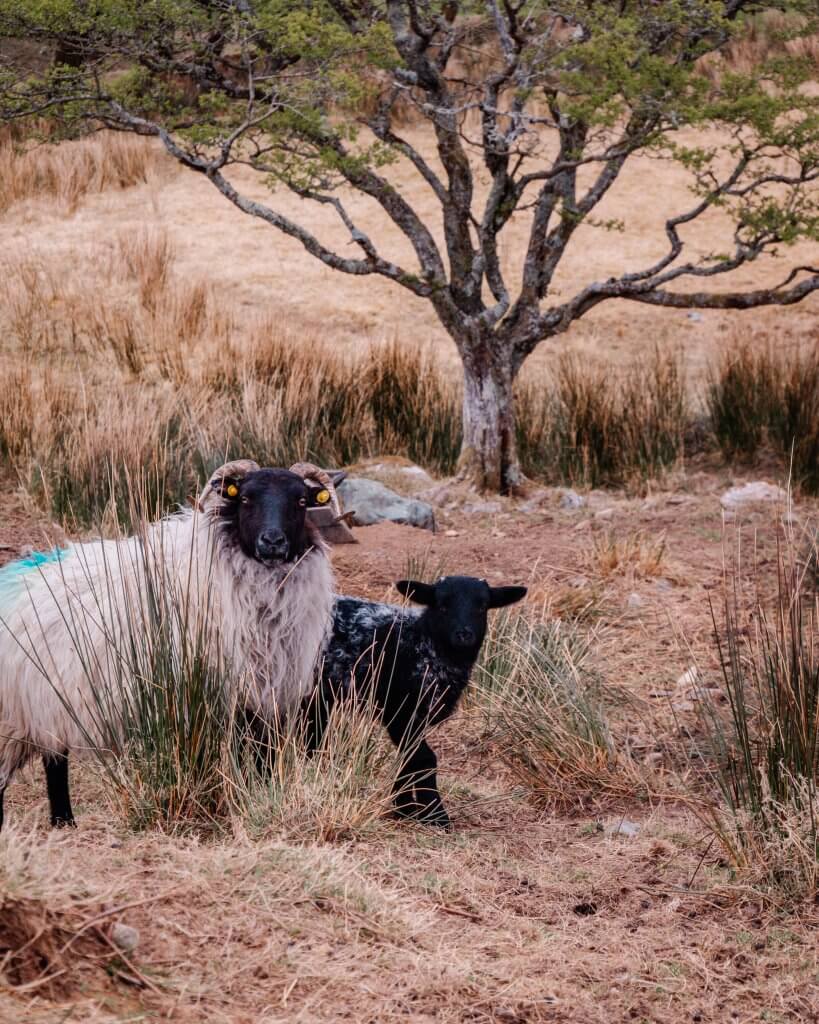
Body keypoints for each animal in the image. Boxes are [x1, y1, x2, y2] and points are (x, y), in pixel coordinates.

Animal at [0, 459, 342, 830]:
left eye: (302, 501)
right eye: (245, 498)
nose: (273, 542)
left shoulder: (264, 692)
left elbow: (262, 756)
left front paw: (262, 799)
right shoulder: (220, 690)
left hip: (44, 708)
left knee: (54, 763)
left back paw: (65, 823)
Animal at [307, 575, 527, 828]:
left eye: (482, 607)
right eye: (442, 605)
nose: (464, 635)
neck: (422, 645)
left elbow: (408, 758)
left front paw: (404, 807)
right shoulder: (398, 711)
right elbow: (423, 758)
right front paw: (435, 814)